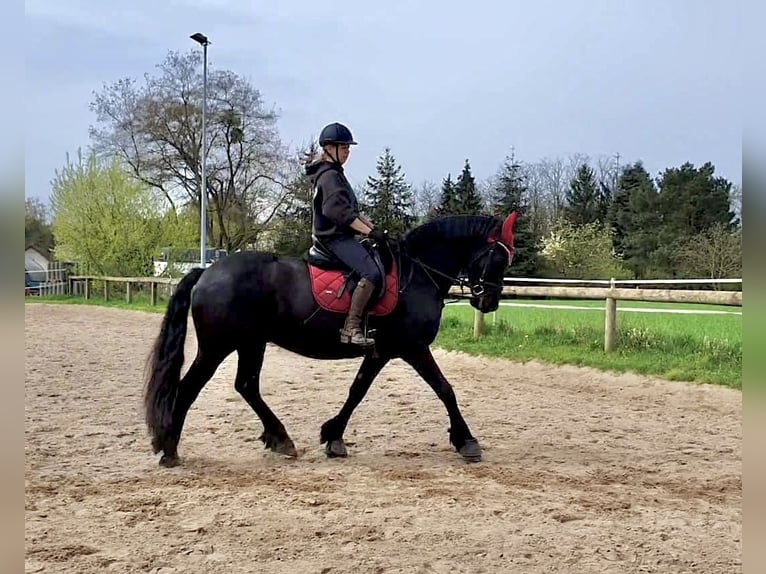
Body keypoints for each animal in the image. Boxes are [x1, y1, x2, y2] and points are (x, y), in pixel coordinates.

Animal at [143, 212, 517, 467]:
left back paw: (280, 439)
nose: (489, 302)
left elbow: (357, 390)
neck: (418, 274)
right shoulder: (412, 347)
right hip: (217, 346)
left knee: (246, 385)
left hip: (251, 342)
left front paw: (333, 436)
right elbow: (444, 389)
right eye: (499, 257)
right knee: (189, 388)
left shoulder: (381, 351)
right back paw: (170, 450)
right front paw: (466, 441)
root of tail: (207, 272)